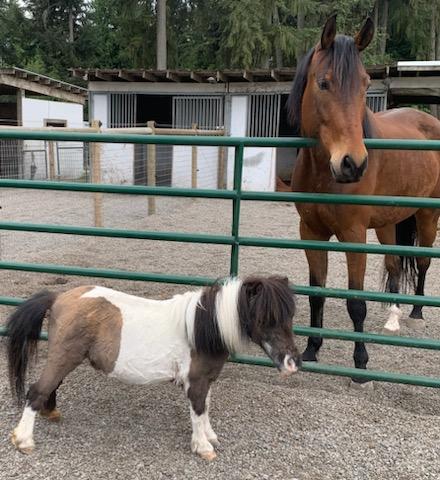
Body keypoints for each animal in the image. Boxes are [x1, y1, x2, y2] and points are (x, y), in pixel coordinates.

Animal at [288, 13, 440, 384]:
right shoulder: (311, 234)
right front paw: (312, 350)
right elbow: (316, 295)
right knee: (395, 264)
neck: (324, 175)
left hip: (428, 218)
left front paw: (360, 363)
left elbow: (356, 301)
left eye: (365, 83)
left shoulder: (354, 236)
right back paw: (393, 318)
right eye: (324, 83)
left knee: (423, 262)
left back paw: (416, 312)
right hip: (389, 223)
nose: (353, 164)